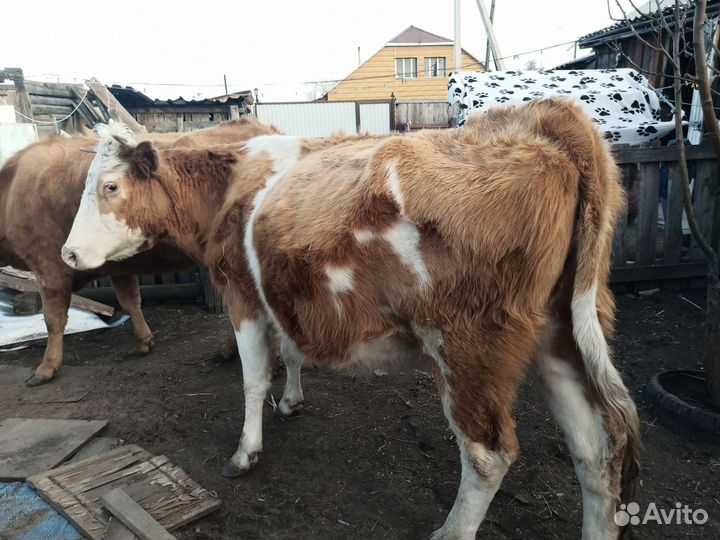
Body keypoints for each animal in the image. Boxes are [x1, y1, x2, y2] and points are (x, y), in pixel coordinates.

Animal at [0, 117, 276, 386]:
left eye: (111, 187)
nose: (70, 252)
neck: (12, 187)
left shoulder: (49, 268)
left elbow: (53, 319)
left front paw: (46, 368)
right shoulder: (118, 267)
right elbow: (129, 300)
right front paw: (144, 341)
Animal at [62, 99, 640, 540]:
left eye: (109, 186)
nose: (68, 254)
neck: (232, 182)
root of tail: (541, 119)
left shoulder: (242, 294)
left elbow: (252, 378)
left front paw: (247, 451)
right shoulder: (279, 291)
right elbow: (289, 350)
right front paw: (291, 400)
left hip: (466, 347)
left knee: (488, 455)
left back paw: (452, 529)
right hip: (561, 336)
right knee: (597, 454)